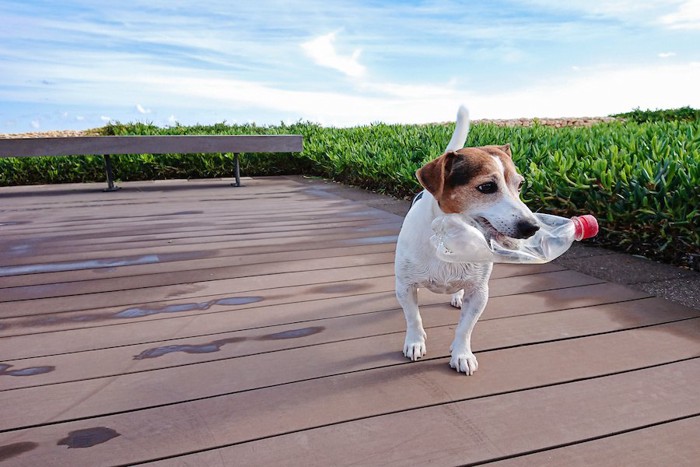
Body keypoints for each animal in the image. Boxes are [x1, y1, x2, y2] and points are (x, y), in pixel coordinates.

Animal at [394, 107, 540, 376]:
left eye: (520, 185)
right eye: (487, 186)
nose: (532, 227)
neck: (450, 239)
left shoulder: (479, 293)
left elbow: (465, 328)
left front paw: (461, 355)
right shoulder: (405, 287)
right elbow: (413, 318)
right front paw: (415, 342)